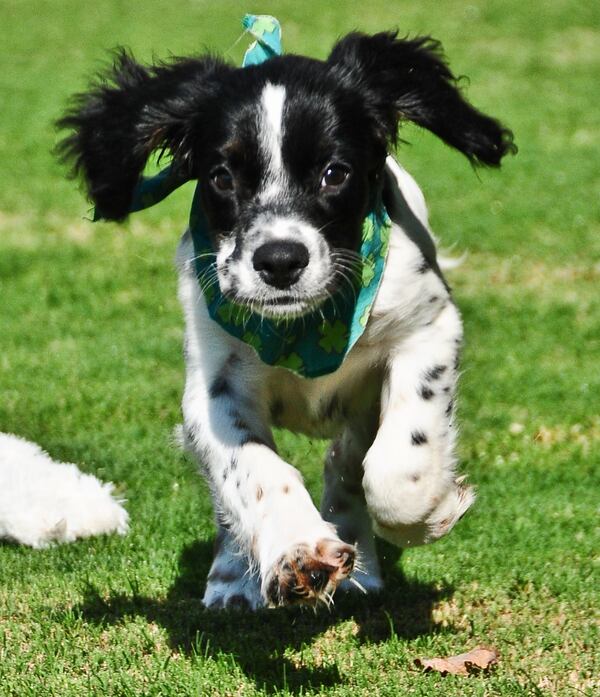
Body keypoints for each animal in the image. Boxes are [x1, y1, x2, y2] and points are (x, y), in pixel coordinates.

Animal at [58, 31, 512, 608]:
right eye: (222, 176)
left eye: (334, 173)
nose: (278, 261)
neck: (305, 328)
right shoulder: (214, 385)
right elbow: (254, 470)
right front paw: (299, 550)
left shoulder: (429, 327)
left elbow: (397, 467)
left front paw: (429, 515)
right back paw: (233, 578)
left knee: (352, 459)